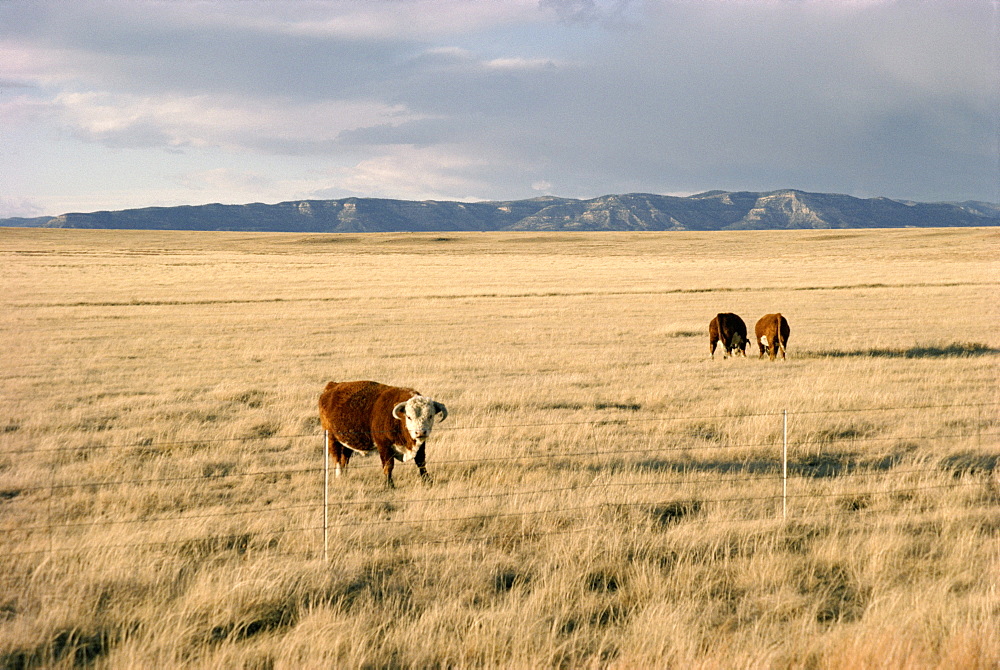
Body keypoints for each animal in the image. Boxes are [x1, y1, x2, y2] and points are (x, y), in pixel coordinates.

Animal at [318, 384, 448, 488]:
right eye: (409, 417)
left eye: (430, 416)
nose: (420, 432)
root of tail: (332, 386)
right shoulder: (384, 446)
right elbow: (388, 466)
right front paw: (389, 485)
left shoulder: (421, 445)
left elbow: (421, 463)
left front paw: (428, 481)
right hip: (332, 438)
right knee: (337, 458)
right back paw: (339, 476)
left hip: (347, 442)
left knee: (345, 458)